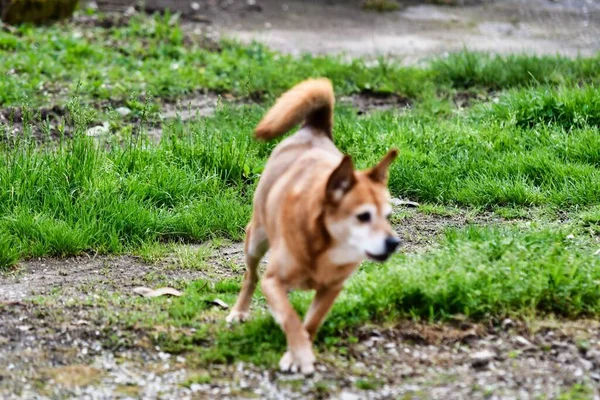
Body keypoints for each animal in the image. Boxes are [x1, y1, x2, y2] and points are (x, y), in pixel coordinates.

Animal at [227, 78, 400, 376]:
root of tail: (313, 129)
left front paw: (295, 353)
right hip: (256, 241)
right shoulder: (273, 280)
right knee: (251, 276)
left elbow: (310, 322)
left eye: (388, 216)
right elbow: (290, 317)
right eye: (363, 216)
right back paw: (240, 310)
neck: (326, 248)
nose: (393, 243)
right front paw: (302, 356)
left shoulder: (332, 289)